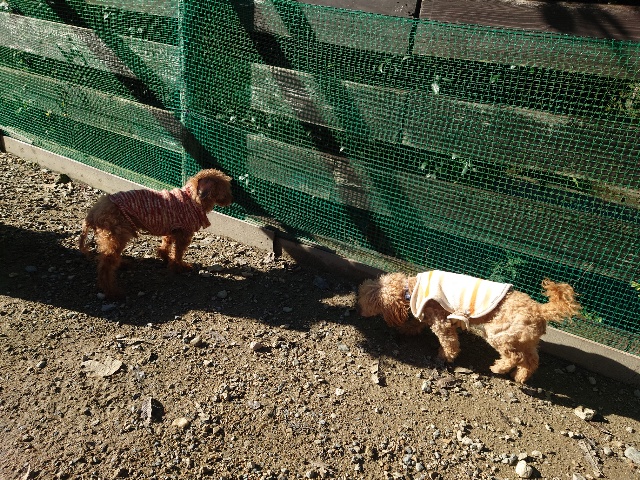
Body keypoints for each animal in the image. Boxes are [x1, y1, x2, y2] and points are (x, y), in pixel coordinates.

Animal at [79, 169, 233, 298]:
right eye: (226, 188)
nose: (231, 200)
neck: (193, 200)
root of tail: (93, 213)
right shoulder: (184, 233)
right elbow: (178, 253)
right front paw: (179, 267)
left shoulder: (172, 229)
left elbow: (166, 245)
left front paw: (165, 257)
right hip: (116, 235)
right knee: (105, 266)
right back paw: (112, 291)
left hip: (112, 237)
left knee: (107, 258)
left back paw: (122, 265)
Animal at [357, 270, 580, 383]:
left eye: (364, 302)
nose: (359, 310)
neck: (410, 288)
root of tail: (540, 310)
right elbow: (415, 324)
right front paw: (407, 330)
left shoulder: (440, 320)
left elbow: (448, 342)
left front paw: (445, 357)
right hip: (525, 339)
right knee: (532, 360)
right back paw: (519, 377)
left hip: (498, 333)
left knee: (515, 356)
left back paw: (499, 368)